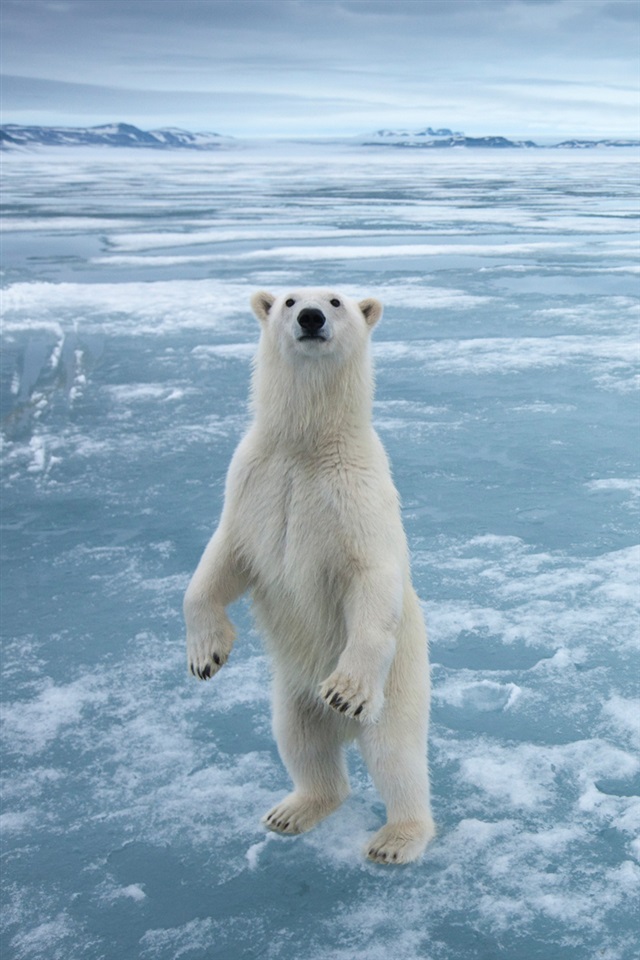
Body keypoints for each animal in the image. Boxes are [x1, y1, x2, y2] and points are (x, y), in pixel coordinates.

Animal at [185, 286, 436, 864]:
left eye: (337, 300)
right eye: (288, 299)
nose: (311, 317)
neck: (306, 445)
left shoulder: (356, 495)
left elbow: (371, 577)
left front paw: (345, 689)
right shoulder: (253, 482)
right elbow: (222, 561)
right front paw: (206, 655)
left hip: (401, 684)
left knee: (396, 755)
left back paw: (396, 838)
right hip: (291, 692)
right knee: (300, 741)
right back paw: (293, 809)